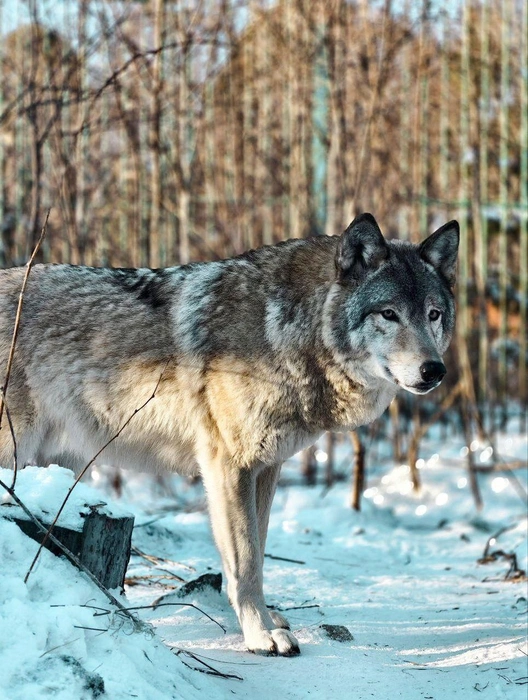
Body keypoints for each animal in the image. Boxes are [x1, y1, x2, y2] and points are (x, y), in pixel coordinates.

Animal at [0, 213, 458, 656]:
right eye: (389, 314)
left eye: (433, 315)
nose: (434, 370)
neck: (286, 328)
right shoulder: (229, 467)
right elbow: (246, 563)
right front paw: (261, 636)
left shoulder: (266, 469)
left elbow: (259, 550)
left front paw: (268, 621)